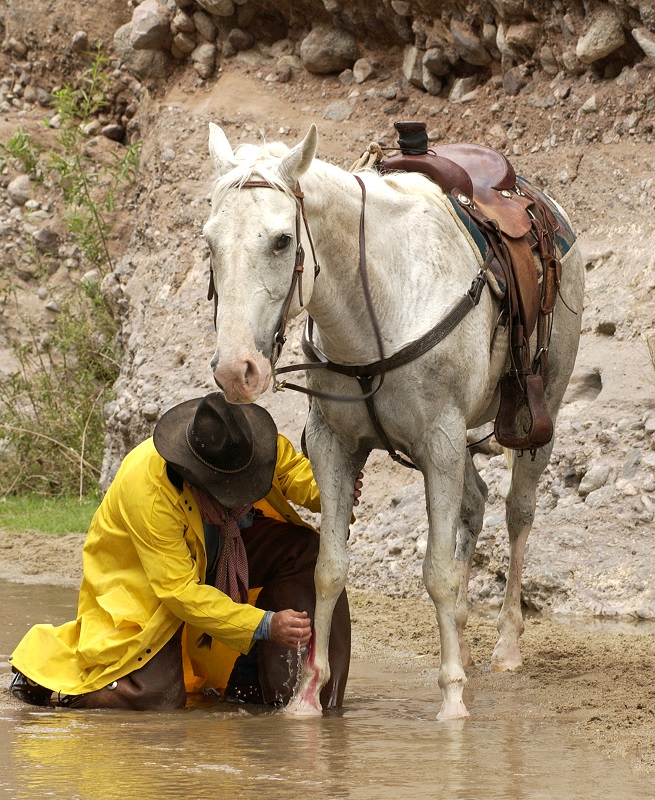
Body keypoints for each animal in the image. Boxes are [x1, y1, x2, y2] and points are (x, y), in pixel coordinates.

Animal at [202, 122, 584, 720]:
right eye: (210, 241)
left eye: (282, 240)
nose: (236, 370)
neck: (376, 305)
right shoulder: (335, 445)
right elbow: (330, 567)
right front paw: (308, 695)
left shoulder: (441, 442)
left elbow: (438, 573)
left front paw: (451, 699)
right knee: (474, 505)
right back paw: (465, 640)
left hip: (538, 409)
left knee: (518, 511)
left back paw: (505, 645)